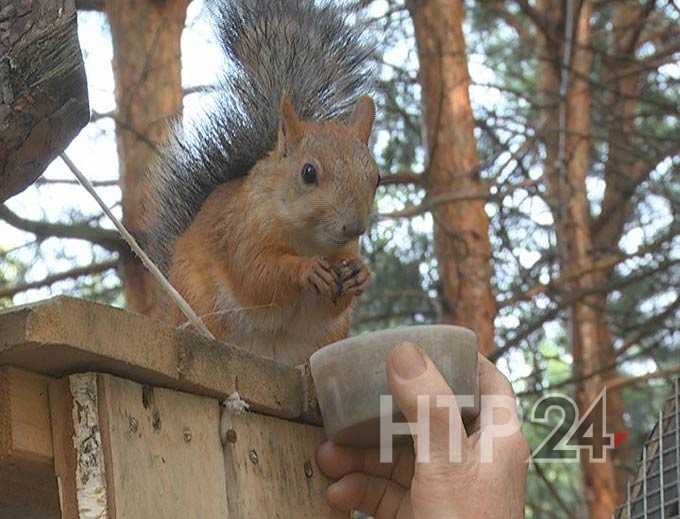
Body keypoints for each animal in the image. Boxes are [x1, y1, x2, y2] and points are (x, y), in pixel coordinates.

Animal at [143, 0, 378, 366]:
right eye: (308, 173)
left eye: (377, 178)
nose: (354, 228)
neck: (308, 238)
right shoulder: (241, 232)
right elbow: (257, 275)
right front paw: (306, 269)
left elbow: (330, 307)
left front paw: (360, 274)